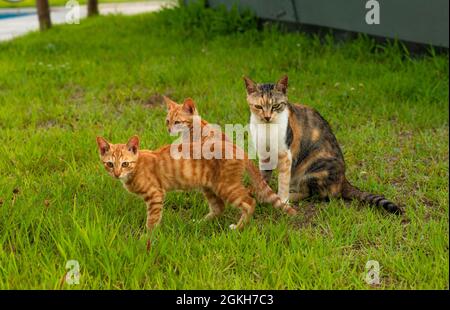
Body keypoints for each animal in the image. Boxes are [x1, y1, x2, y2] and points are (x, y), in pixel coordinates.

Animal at [244, 76, 402, 214]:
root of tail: (343, 180)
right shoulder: (264, 155)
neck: (266, 129)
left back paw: (291, 195)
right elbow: (263, 177)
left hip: (313, 169)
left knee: (312, 194)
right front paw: (261, 195)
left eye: (276, 106)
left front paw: (282, 202)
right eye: (258, 106)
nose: (267, 117)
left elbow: (283, 181)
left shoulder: (285, 155)